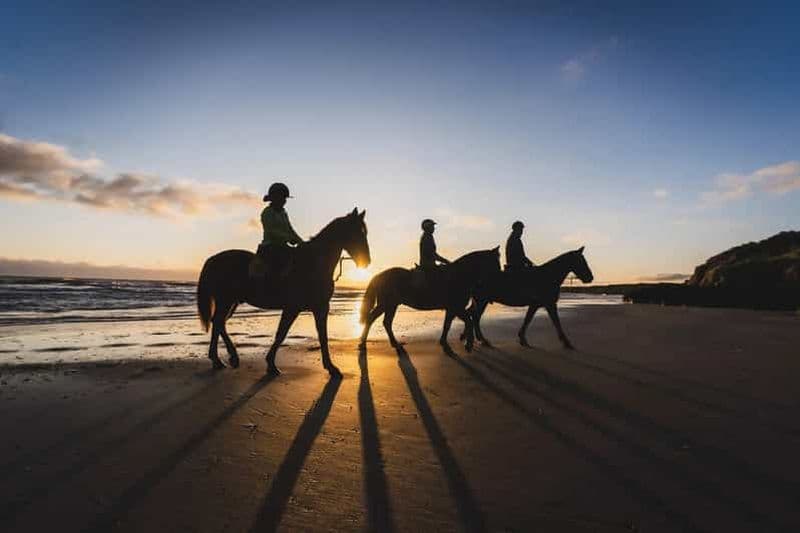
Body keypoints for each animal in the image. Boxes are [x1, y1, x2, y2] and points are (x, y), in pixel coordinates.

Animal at [196, 208, 370, 376]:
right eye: (357, 233)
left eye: (364, 233)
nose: (367, 261)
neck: (313, 263)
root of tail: (213, 259)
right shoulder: (294, 307)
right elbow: (282, 333)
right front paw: (272, 365)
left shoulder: (319, 307)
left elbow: (321, 335)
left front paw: (330, 367)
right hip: (225, 300)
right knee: (218, 322)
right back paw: (223, 359)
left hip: (231, 302)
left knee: (219, 323)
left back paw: (225, 358)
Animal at [358, 247, 501, 353]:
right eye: (495, 263)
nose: (498, 280)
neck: (459, 275)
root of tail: (379, 275)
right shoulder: (456, 307)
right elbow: (469, 321)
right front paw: (468, 344)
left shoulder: (452, 309)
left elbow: (447, 324)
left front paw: (444, 342)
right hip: (386, 304)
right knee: (372, 318)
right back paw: (363, 343)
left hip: (391, 305)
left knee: (386, 322)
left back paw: (394, 343)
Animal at [463, 246, 593, 349]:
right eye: (581, 261)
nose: (590, 277)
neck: (548, 276)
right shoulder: (549, 304)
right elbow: (556, 322)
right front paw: (566, 342)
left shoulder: (536, 305)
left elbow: (528, 320)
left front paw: (522, 339)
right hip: (481, 301)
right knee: (475, 317)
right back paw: (482, 340)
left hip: (479, 301)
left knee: (471, 314)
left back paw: (467, 337)